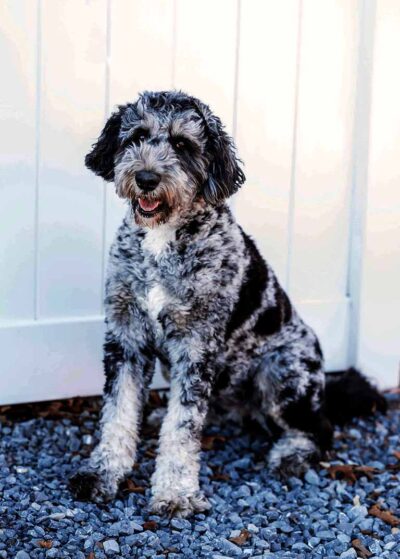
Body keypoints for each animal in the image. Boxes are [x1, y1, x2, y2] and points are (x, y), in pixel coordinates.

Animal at [69, 91, 388, 516]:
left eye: (183, 145)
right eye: (136, 136)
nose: (146, 178)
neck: (163, 239)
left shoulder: (196, 345)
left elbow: (184, 427)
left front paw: (175, 493)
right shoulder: (126, 338)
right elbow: (118, 413)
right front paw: (103, 473)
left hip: (281, 373)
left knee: (320, 427)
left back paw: (291, 453)